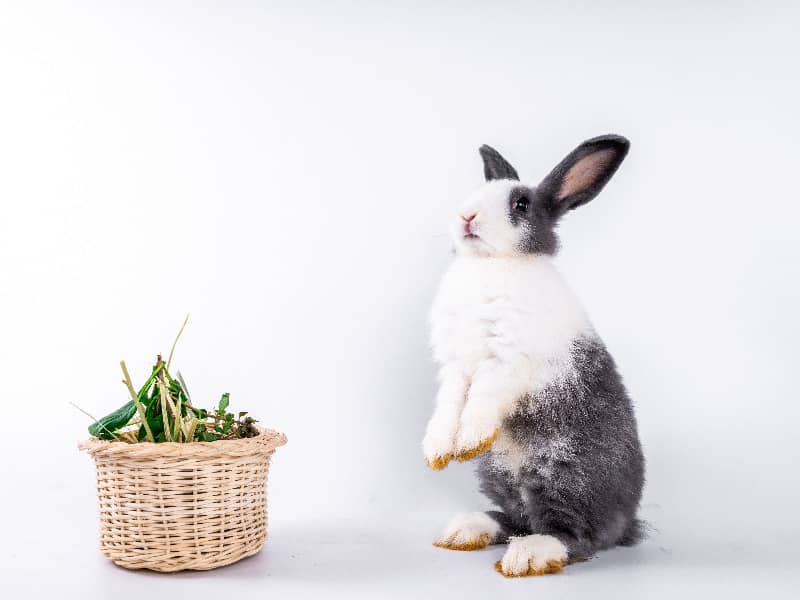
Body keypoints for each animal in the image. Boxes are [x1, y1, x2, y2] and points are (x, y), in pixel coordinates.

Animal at [424, 135, 644, 576]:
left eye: (521, 204)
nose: (466, 215)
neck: (493, 264)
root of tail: (628, 520)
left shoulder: (504, 362)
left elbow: (482, 398)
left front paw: (469, 440)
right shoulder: (455, 367)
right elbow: (449, 404)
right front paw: (438, 451)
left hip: (564, 476)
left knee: (576, 536)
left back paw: (528, 556)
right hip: (501, 474)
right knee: (516, 518)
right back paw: (467, 530)